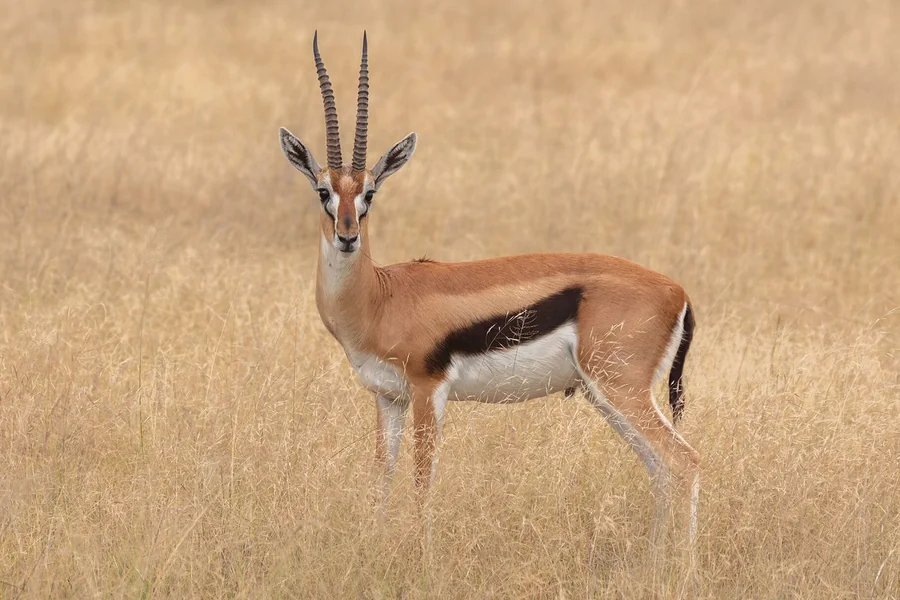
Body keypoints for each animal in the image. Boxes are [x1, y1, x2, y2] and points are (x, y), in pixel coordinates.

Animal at [278, 32, 701, 544]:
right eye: (323, 191)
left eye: (370, 193)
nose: (347, 236)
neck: (380, 297)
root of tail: (679, 293)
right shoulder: (387, 397)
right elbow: (382, 477)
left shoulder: (427, 390)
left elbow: (422, 482)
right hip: (608, 398)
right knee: (660, 469)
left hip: (621, 390)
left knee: (685, 462)